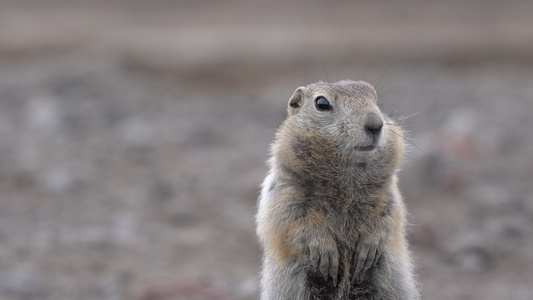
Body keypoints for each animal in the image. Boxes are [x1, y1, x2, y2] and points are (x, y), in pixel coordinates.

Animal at [256, 79, 418, 300]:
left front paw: (369, 246)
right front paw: (324, 250)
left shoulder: (389, 193)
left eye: (374, 98)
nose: (375, 124)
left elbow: (390, 216)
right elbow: (292, 219)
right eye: (322, 103)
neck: (346, 178)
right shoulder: (284, 191)